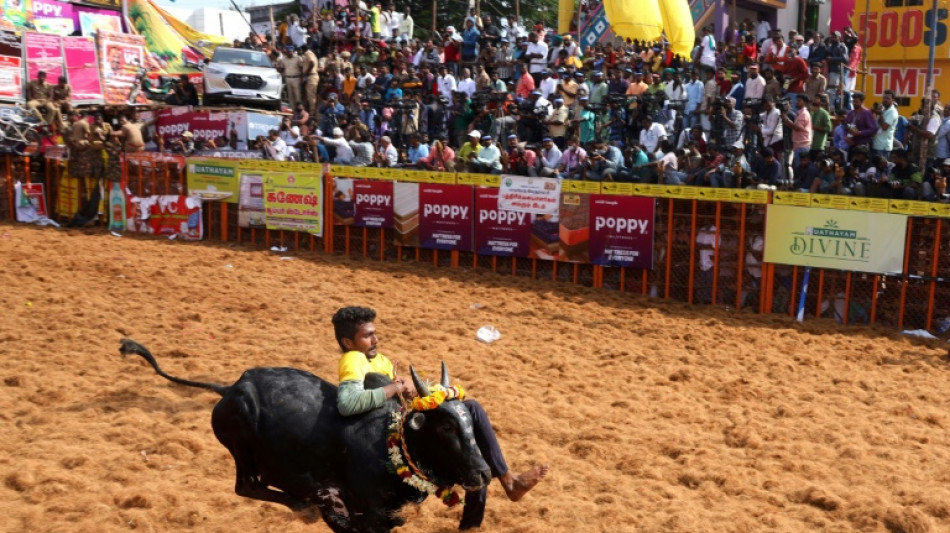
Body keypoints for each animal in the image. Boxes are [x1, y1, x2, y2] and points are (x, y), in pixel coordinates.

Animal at [118, 340, 490, 532]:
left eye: (467, 421)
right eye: (445, 426)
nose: (484, 473)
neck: (390, 443)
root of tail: (231, 389)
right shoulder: (369, 512)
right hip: (241, 444)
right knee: (246, 485)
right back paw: (303, 504)